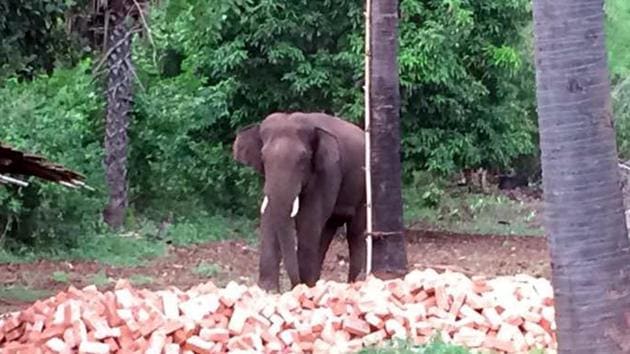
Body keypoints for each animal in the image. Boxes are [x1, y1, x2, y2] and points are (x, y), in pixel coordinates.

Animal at [235, 112, 368, 292]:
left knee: (354, 233)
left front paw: (301, 287)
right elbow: (269, 217)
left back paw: (351, 283)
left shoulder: (328, 171)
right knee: (327, 229)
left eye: (303, 157)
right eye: (263, 156)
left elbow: (308, 220)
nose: (294, 284)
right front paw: (268, 290)